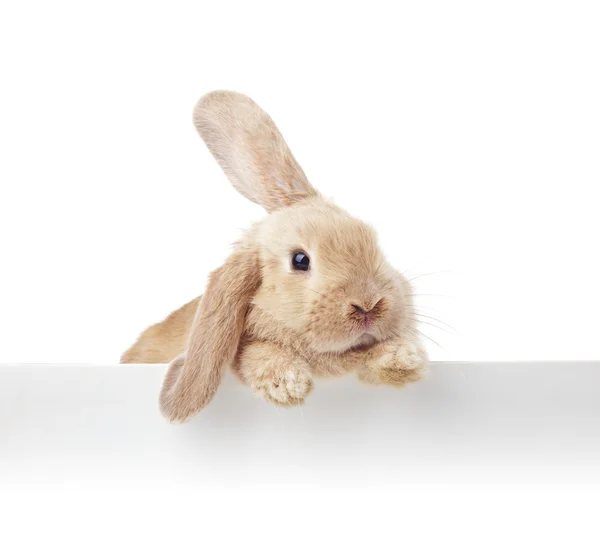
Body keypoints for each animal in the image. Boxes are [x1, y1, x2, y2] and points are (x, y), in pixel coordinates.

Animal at [120, 90, 426, 420]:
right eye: (300, 260)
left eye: (372, 240)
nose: (369, 304)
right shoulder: (247, 349)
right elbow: (257, 353)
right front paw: (288, 384)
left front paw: (402, 359)